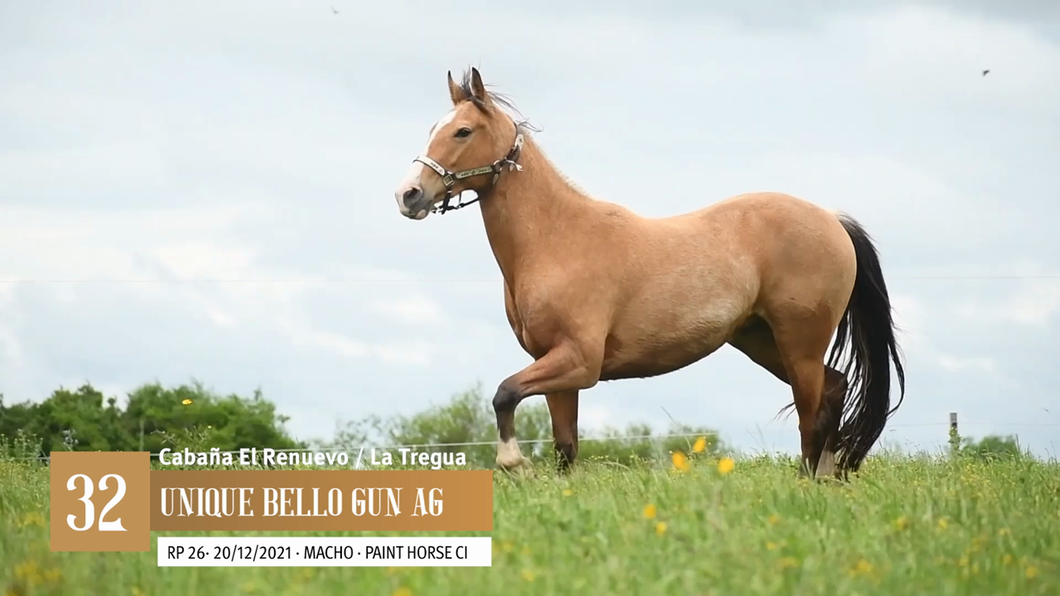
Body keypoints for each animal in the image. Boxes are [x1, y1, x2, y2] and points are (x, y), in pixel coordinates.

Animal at [394, 67, 907, 479]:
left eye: (462, 131)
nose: (409, 195)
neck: (557, 241)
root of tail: (832, 220)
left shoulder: (578, 362)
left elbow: (504, 394)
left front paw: (513, 463)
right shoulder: (556, 367)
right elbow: (565, 448)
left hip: (798, 345)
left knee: (811, 417)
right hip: (762, 341)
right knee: (833, 391)